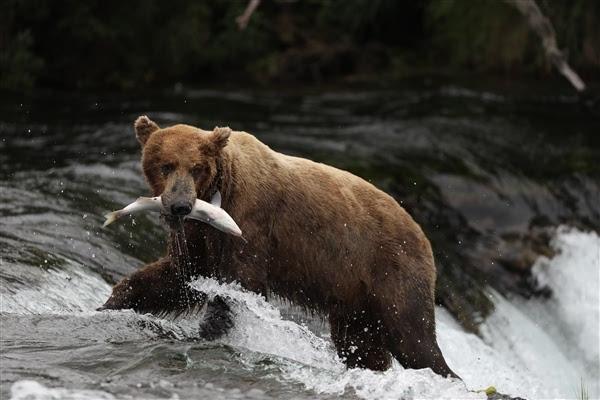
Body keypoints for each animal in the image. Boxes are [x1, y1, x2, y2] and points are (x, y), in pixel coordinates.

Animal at [101, 115, 458, 378]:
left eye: (197, 167)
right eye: (165, 165)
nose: (179, 206)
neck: (219, 191)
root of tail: (422, 232)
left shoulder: (250, 221)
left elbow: (238, 285)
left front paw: (207, 331)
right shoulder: (197, 237)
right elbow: (176, 277)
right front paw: (109, 304)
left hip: (388, 267)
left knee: (413, 337)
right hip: (353, 297)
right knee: (361, 343)